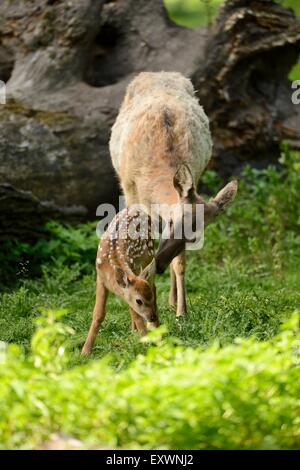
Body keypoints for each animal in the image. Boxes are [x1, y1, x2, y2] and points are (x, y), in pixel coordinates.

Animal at [109, 71, 237, 318]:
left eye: (194, 236)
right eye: (170, 221)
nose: (159, 264)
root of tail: (157, 73)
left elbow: (180, 263)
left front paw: (181, 311)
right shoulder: (130, 190)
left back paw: (171, 299)